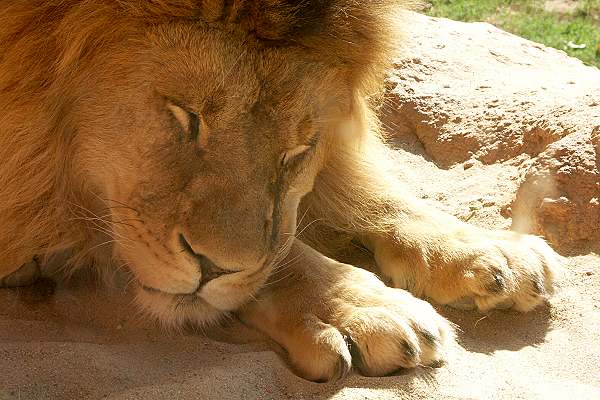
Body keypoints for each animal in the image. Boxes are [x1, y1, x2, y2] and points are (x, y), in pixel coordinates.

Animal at [2, 0, 560, 382]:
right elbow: (283, 251)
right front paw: (357, 306)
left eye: (299, 147)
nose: (214, 270)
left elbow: (337, 197)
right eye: (187, 115)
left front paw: (482, 249)